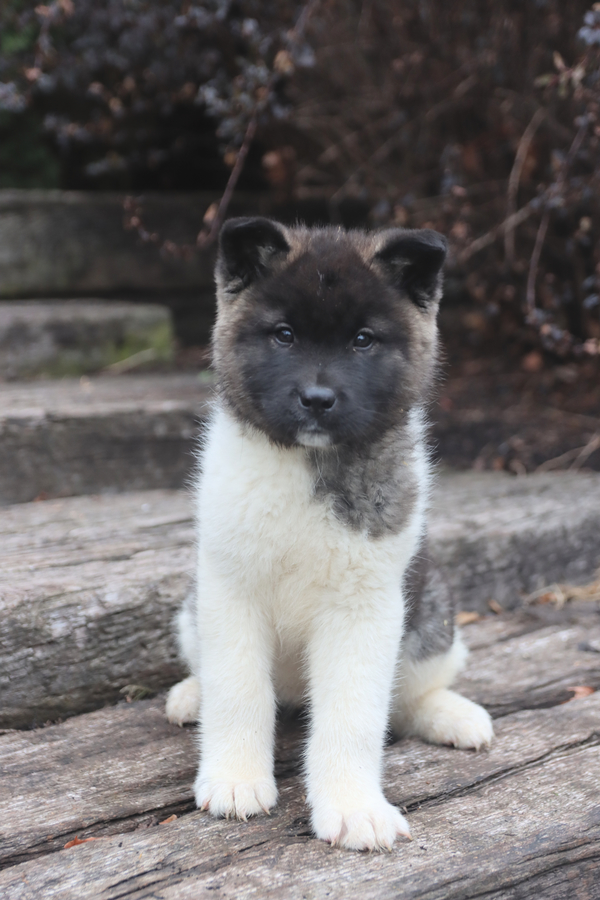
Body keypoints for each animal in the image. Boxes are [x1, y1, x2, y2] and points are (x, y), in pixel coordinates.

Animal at [165, 218, 492, 852]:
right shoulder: (231, 591)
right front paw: (236, 778)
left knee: (407, 698)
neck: (307, 463)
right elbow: (238, 692)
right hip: (193, 608)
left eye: (363, 340)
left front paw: (353, 806)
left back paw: (453, 714)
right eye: (284, 335)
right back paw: (192, 694)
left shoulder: (364, 610)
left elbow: (354, 717)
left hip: (431, 617)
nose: (317, 399)